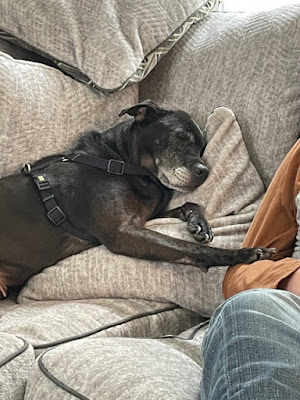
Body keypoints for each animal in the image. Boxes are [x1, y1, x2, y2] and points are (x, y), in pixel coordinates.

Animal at [0, 101, 276, 296]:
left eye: (202, 148)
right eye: (180, 137)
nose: (204, 172)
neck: (120, 163)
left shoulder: (145, 217)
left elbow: (190, 204)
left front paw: (199, 224)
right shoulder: (122, 232)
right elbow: (188, 247)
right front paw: (245, 254)